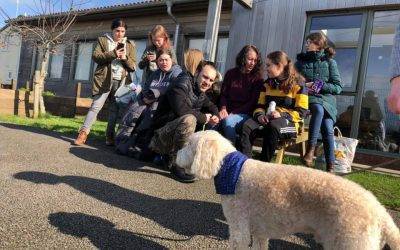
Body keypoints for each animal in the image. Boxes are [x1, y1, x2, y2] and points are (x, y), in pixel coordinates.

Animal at [177, 131, 400, 250]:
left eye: (188, 145)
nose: (176, 155)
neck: (232, 171)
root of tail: (381, 213)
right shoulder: (259, 231)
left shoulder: (239, 227)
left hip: (352, 241)